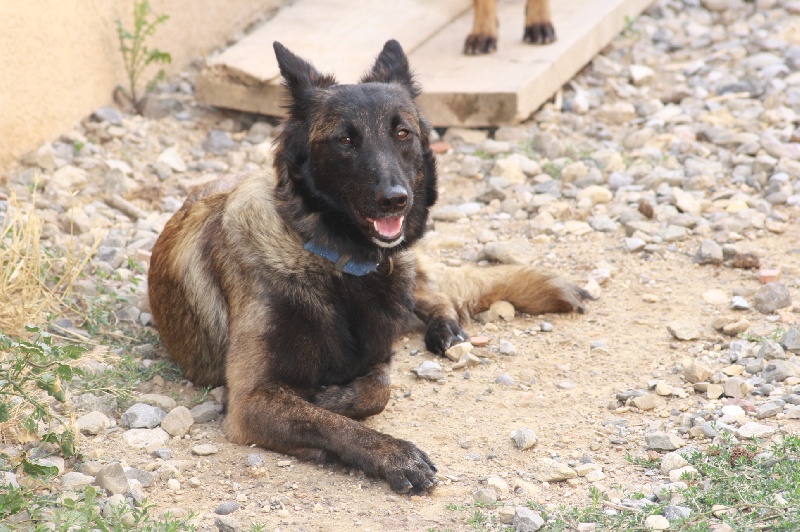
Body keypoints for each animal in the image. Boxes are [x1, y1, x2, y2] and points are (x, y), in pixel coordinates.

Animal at [148, 40, 588, 494]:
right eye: (345, 139)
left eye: (402, 133)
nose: (395, 200)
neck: (337, 264)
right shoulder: (251, 400)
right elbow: (330, 422)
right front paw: (394, 454)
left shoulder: (374, 355)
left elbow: (379, 389)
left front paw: (332, 397)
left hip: (406, 269)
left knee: (435, 295)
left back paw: (446, 331)